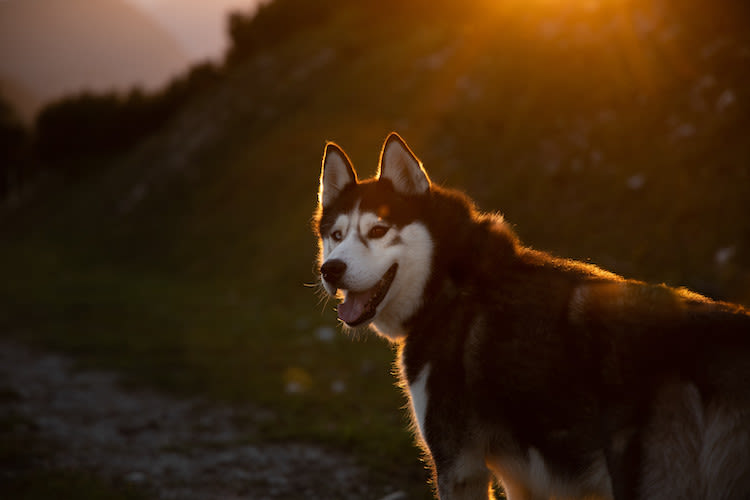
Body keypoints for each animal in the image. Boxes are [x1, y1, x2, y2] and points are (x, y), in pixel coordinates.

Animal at [314, 134, 750, 500]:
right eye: (336, 235)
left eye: (378, 230)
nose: (330, 270)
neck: (448, 284)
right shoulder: (523, 478)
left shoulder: (461, 465)